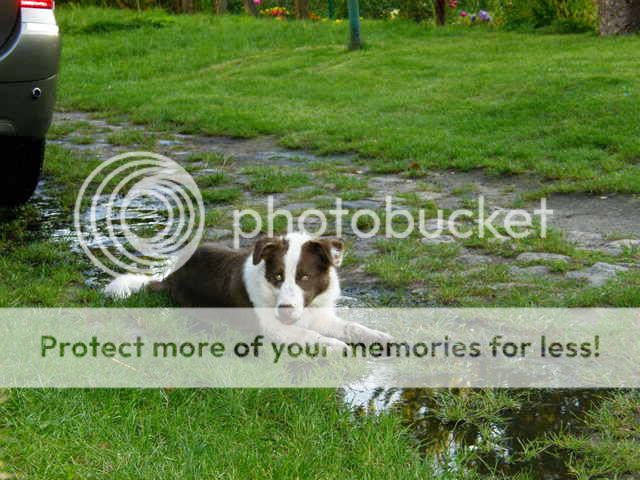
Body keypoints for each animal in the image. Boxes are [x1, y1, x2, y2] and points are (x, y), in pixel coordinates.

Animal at [104, 232, 391, 350]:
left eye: (305, 277)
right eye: (277, 277)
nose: (285, 312)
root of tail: (171, 276)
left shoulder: (322, 316)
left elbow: (353, 327)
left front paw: (378, 336)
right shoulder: (272, 328)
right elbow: (307, 334)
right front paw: (334, 345)